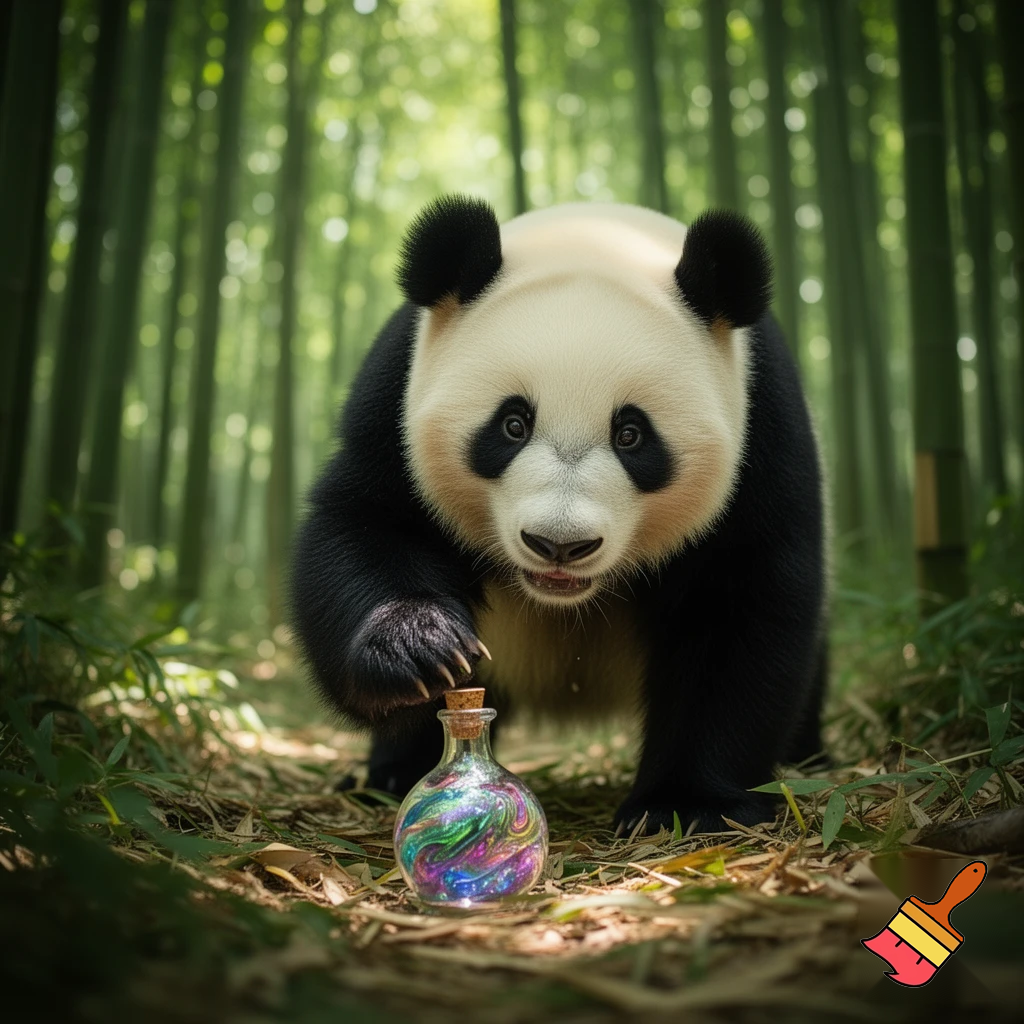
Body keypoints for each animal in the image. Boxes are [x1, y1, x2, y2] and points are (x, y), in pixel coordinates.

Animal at [291, 195, 827, 836]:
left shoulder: (763, 432)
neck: (595, 236)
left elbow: (740, 608)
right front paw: (418, 646)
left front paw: (687, 803)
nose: (559, 544)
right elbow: (365, 526)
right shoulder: (395, 401)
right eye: (512, 424)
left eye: (631, 434)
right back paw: (394, 773)